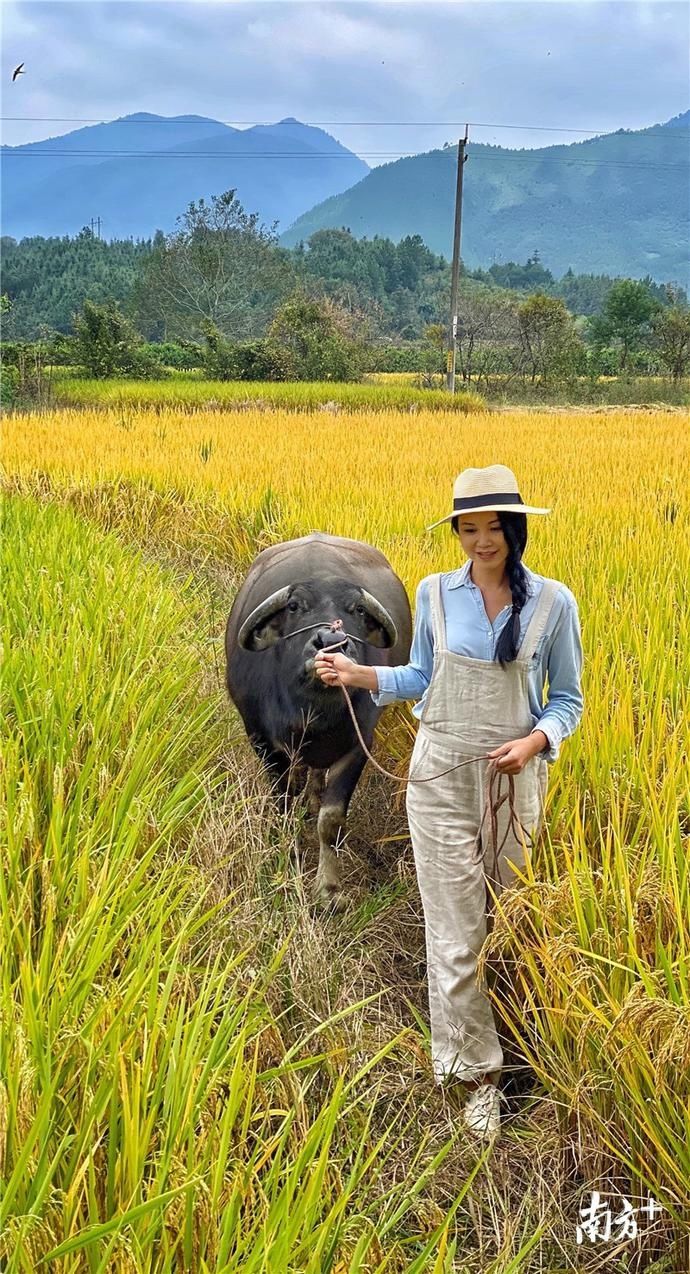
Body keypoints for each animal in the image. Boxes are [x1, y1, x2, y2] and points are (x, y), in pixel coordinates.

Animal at [225, 532, 412, 912]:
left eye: (357, 610)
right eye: (295, 607)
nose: (330, 642)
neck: (312, 712)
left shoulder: (358, 746)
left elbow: (332, 820)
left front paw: (329, 890)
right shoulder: (263, 742)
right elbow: (281, 805)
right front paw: (284, 855)